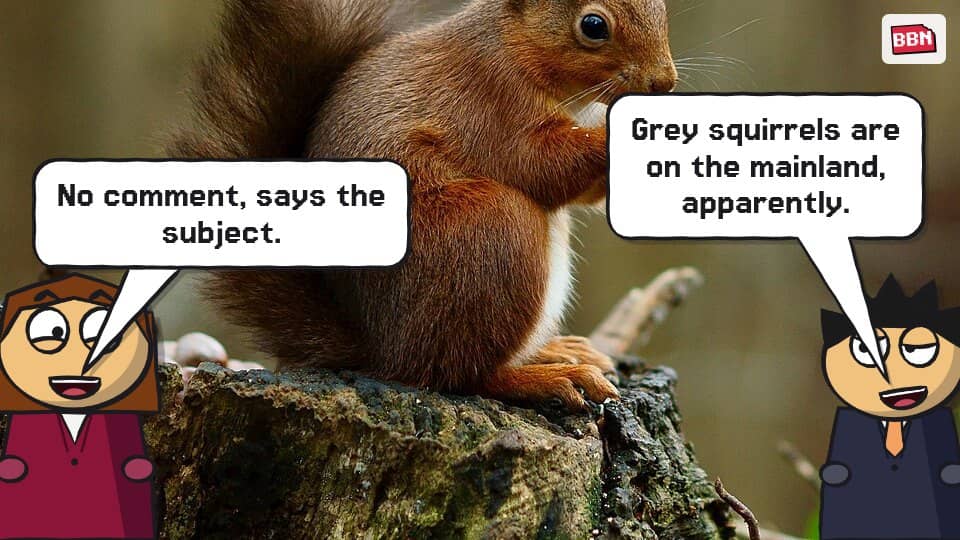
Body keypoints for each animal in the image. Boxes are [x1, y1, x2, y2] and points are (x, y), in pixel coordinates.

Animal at [168, 0, 677, 410]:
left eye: (662, 8)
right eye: (593, 25)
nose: (664, 83)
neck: (514, 47)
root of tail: (382, 348)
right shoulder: (490, 102)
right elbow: (541, 164)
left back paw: (556, 351)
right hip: (490, 228)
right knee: (459, 374)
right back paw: (546, 377)